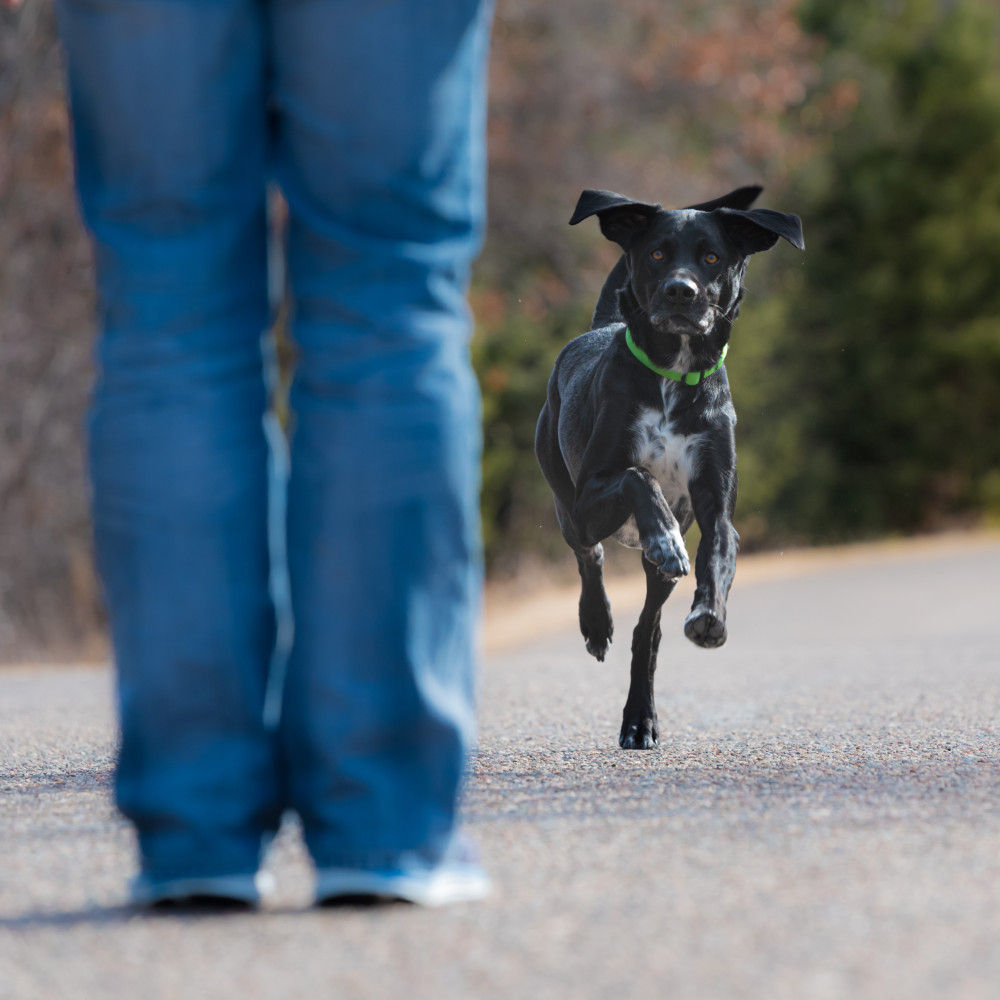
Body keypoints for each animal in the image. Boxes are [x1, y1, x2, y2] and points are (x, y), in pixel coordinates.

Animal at [532, 188, 804, 752]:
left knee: (647, 633)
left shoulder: (717, 507)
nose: (682, 291)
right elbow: (640, 476)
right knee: (588, 556)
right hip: (567, 504)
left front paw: (708, 615)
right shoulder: (591, 498)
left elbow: (718, 554)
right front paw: (662, 537)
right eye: (657, 253)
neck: (674, 374)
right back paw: (597, 622)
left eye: (712, 257)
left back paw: (640, 719)